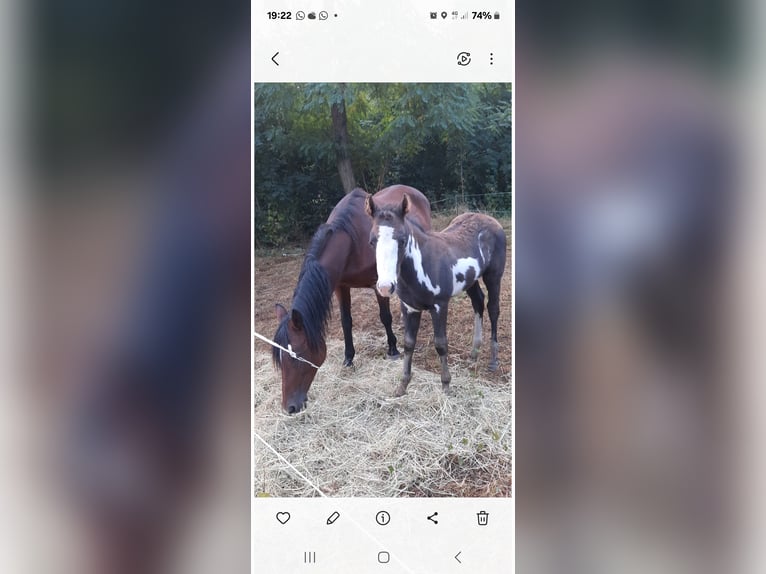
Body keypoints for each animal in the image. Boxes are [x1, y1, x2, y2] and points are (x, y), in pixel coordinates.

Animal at [272, 185, 432, 414]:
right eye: (280, 358)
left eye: (299, 355)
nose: (289, 408)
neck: (352, 240)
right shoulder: (341, 286)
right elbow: (346, 322)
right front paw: (348, 358)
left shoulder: (378, 283)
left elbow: (385, 317)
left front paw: (393, 349)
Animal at [365, 192, 507, 396]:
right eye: (372, 241)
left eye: (402, 240)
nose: (385, 287)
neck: (420, 266)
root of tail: (491, 220)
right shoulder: (409, 308)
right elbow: (408, 343)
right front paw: (402, 385)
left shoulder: (440, 306)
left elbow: (440, 343)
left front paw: (446, 385)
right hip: (470, 281)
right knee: (478, 303)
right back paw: (473, 354)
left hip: (493, 277)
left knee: (493, 309)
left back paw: (493, 360)